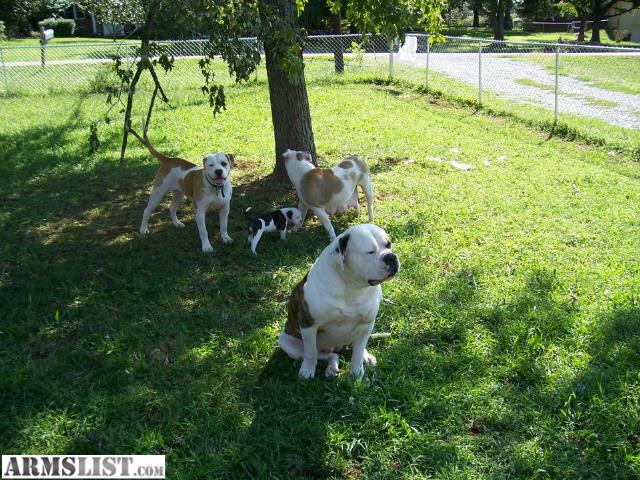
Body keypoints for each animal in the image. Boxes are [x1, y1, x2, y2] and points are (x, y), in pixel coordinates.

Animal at [278, 224, 398, 378]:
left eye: (388, 245)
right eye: (370, 252)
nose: (391, 256)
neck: (353, 288)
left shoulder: (367, 324)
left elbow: (358, 353)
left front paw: (357, 373)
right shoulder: (308, 326)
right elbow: (310, 353)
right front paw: (307, 371)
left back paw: (365, 357)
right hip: (288, 344)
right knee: (327, 355)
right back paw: (330, 368)